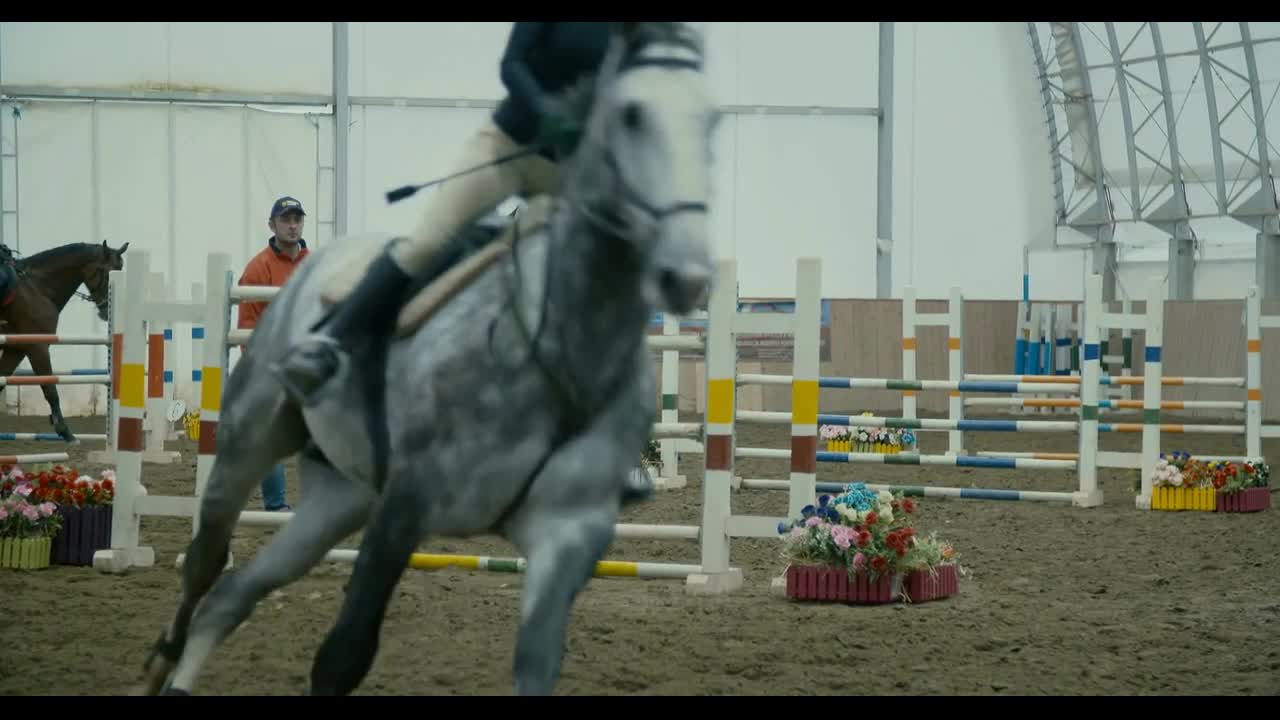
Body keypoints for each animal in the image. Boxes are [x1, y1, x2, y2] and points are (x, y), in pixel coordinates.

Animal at [0, 240, 128, 440]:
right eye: (107, 272)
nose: (106, 311)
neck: (38, 288)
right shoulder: (37, 347)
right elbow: (50, 389)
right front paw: (63, 430)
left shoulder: (16, 349)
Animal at [140, 23, 721, 696]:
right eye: (630, 114)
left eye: (712, 121)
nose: (686, 276)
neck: (565, 344)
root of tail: (309, 264)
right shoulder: (405, 505)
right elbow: (342, 655)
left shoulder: (568, 534)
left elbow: (537, 664)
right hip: (248, 442)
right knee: (206, 563)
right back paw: (159, 663)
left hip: (339, 499)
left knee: (232, 595)